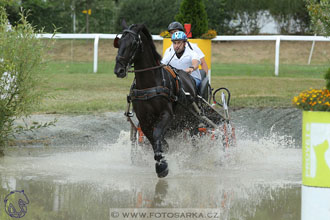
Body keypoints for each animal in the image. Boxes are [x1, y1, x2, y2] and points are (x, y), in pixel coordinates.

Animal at [113, 22, 199, 177]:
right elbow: (154, 139)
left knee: (194, 137)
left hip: (192, 120)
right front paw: (162, 156)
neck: (149, 84)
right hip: (178, 123)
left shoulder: (166, 114)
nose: (119, 70)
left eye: (134, 43)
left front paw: (161, 165)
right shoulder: (144, 120)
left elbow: (157, 134)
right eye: (119, 42)